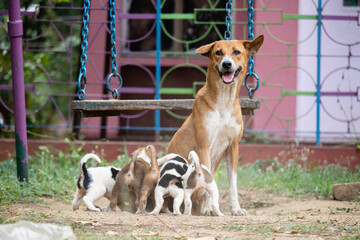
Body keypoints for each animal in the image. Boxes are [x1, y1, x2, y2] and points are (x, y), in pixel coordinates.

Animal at [167, 36, 264, 216]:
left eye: (236, 52)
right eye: (218, 52)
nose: (226, 64)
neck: (224, 101)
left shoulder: (233, 146)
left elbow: (232, 183)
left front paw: (235, 209)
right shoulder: (204, 146)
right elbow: (206, 182)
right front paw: (208, 208)